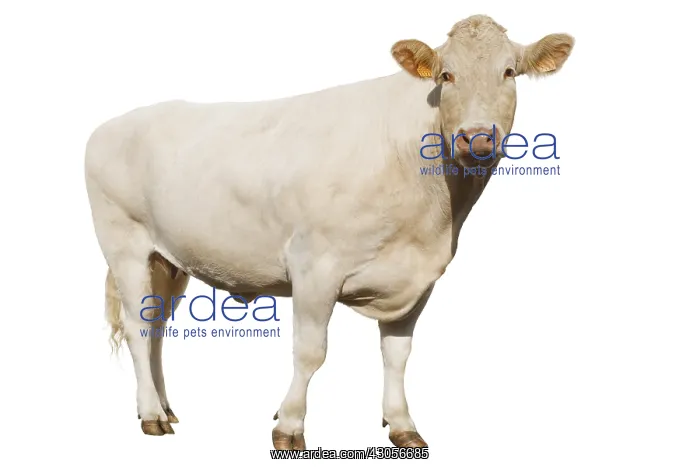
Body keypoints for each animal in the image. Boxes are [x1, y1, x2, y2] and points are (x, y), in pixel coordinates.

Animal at [85, 14, 574, 449]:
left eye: (508, 72)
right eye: (446, 74)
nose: (478, 138)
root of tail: (110, 126)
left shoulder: (418, 275)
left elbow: (398, 354)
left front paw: (402, 425)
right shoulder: (314, 265)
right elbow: (310, 352)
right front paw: (289, 426)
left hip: (167, 258)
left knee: (156, 326)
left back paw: (165, 407)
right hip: (124, 244)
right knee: (137, 327)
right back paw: (151, 415)